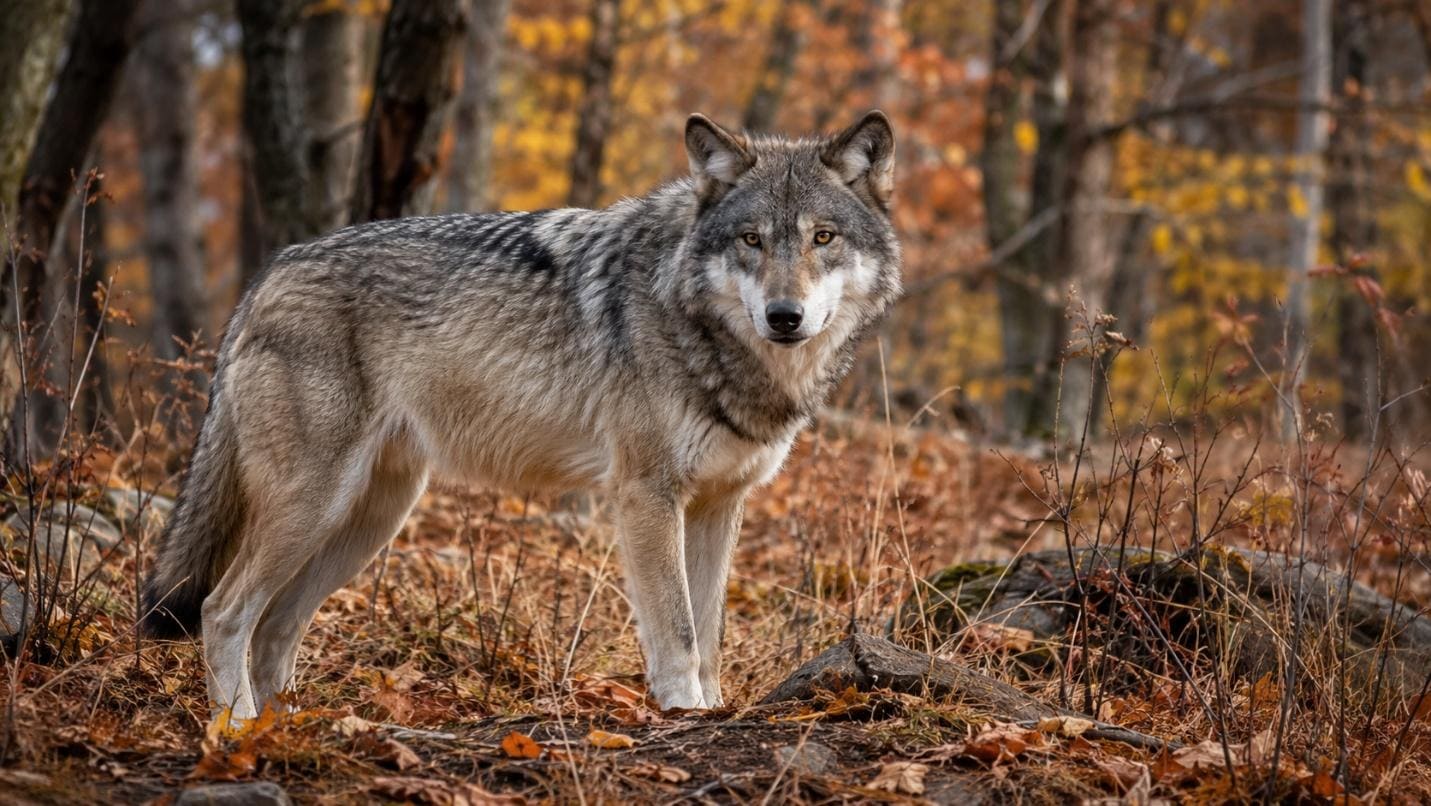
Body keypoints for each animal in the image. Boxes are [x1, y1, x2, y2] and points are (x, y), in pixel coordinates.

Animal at [140, 111, 901, 717]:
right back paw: (238, 730)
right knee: (223, 610)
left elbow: (709, 636)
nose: (784, 316)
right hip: (317, 504)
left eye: (823, 238)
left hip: (371, 517)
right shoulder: (646, 497)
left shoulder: (718, 503)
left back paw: (293, 730)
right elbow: (679, 635)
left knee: (275, 628)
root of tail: (267, 273)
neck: (704, 330)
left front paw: (712, 714)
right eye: (751, 240)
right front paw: (684, 715)